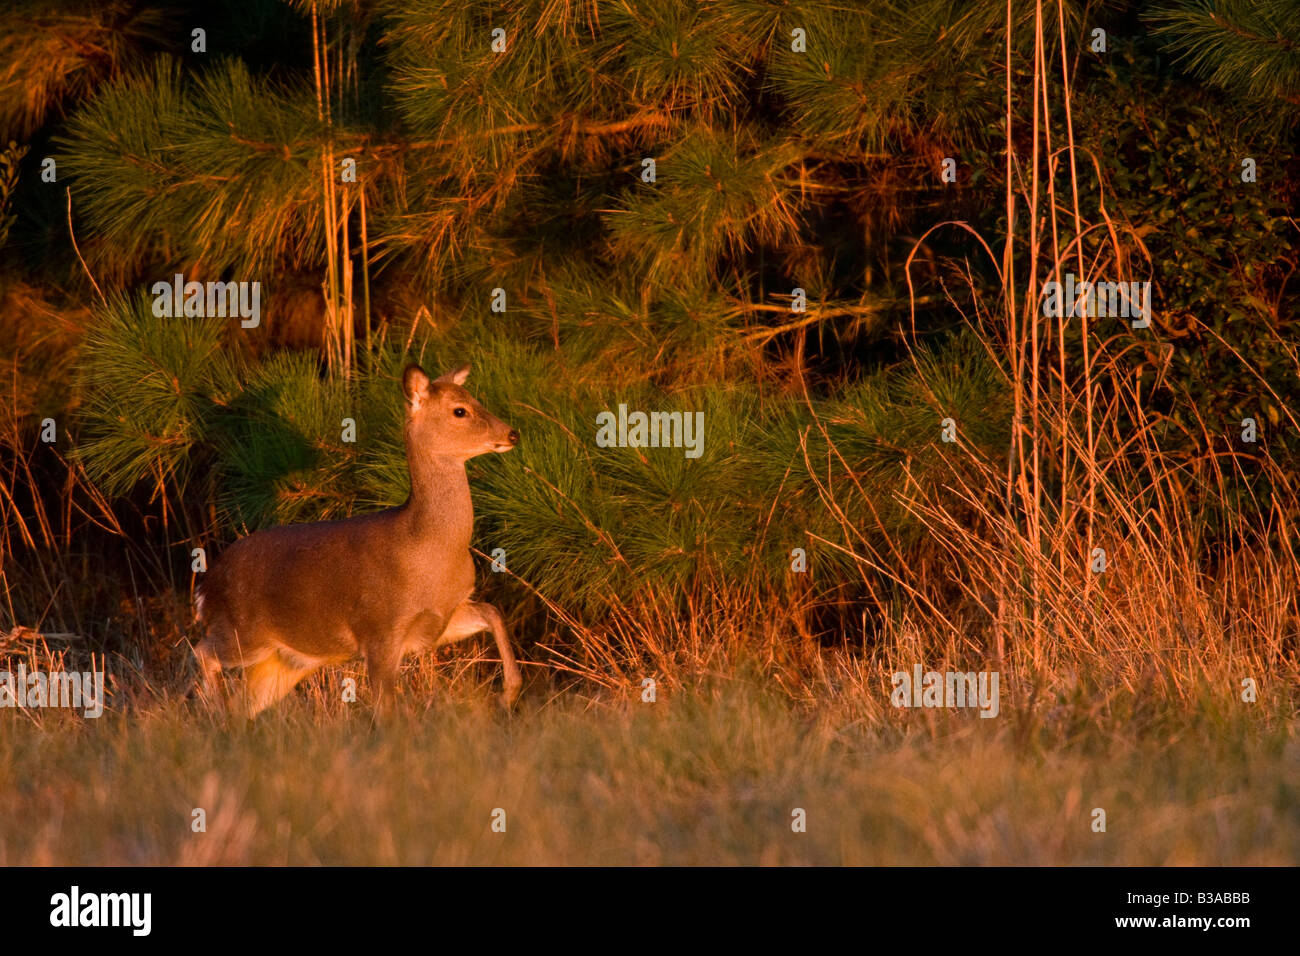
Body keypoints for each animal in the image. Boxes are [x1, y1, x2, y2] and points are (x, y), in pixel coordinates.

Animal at [191, 366, 522, 717]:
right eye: (460, 411)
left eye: (475, 399)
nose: (512, 434)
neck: (429, 549)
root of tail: (205, 587)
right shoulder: (378, 628)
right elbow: (386, 708)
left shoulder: (440, 620)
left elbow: (492, 612)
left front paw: (508, 694)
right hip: (242, 632)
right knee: (202, 653)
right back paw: (218, 714)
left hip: (284, 661)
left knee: (244, 701)